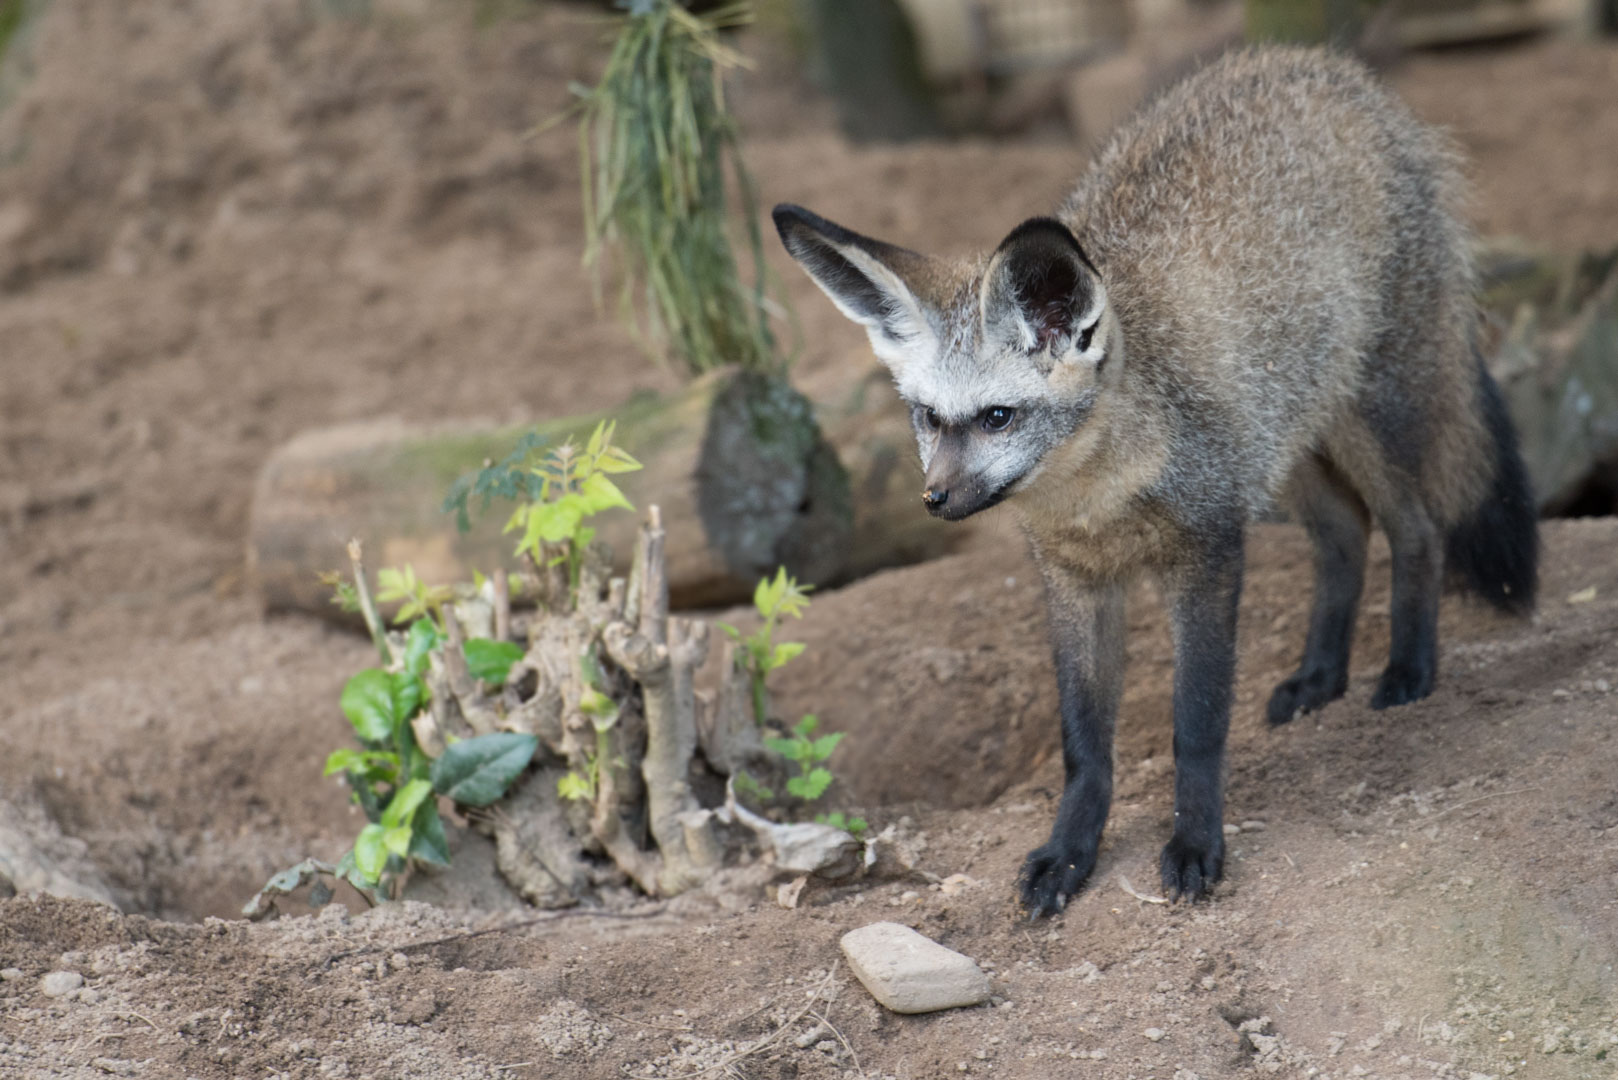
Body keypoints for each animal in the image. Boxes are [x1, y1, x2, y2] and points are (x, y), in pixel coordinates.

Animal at [776, 46, 1533, 919]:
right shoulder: (1074, 582)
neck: (1098, 501)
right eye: (929, 418)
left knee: (1415, 526)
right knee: (1346, 533)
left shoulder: (1208, 553)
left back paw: (1408, 669)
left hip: (1362, 414)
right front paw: (1071, 852)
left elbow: (1195, 727)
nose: (935, 500)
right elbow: (1084, 746)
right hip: (1281, 443)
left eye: (998, 417)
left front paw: (1197, 844)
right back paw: (1321, 677)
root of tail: (1311, 62)